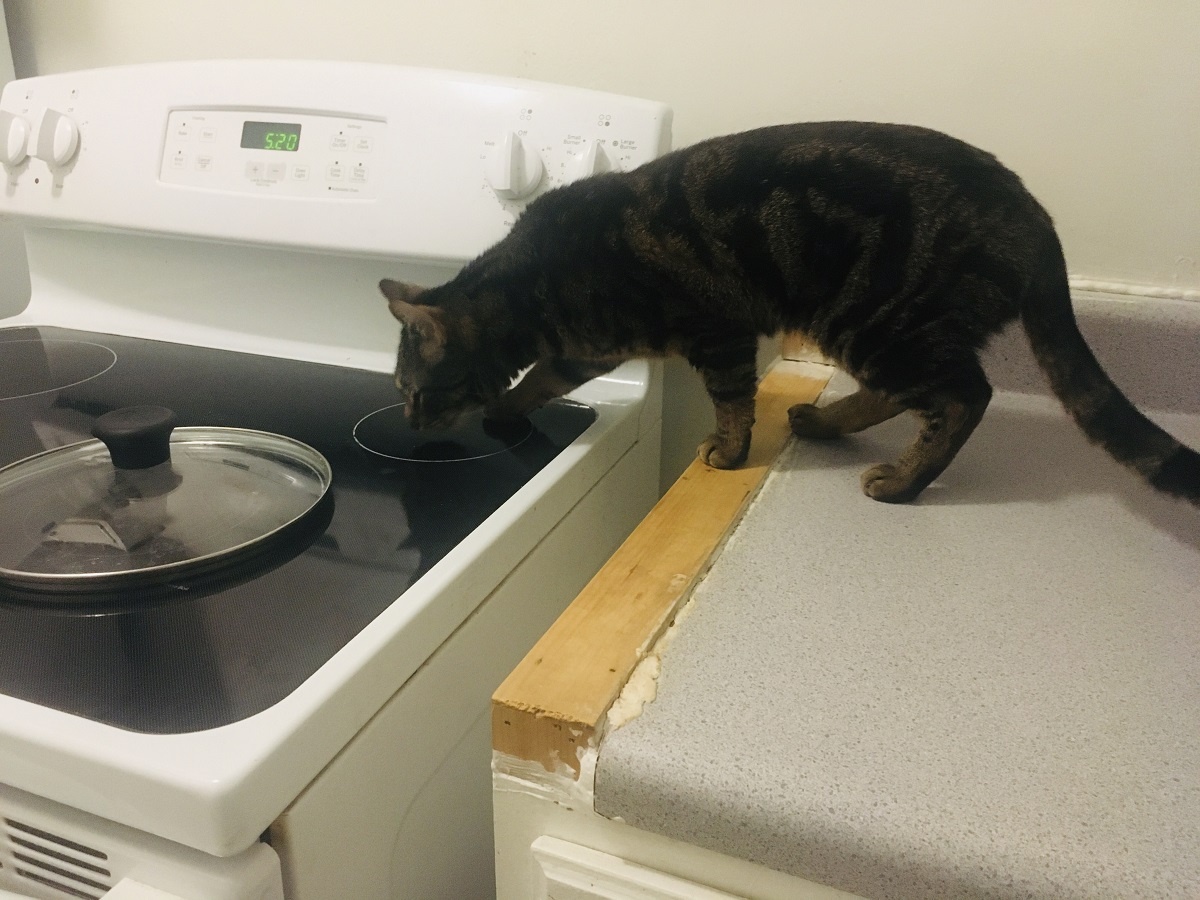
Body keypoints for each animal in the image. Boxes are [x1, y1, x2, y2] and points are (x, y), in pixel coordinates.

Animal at [381, 121, 1200, 508]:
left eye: (414, 391)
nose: (410, 425)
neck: (530, 286)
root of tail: (1034, 215)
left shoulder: (718, 331)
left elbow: (732, 403)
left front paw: (728, 451)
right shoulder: (590, 349)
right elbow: (542, 379)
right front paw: (508, 408)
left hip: (877, 317)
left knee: (965, 396)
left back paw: (902, 481)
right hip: (881, 329)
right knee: (917, 391)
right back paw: (826, 421)